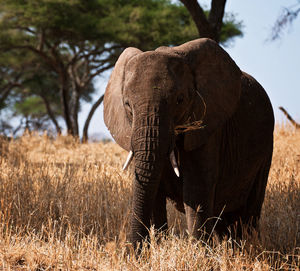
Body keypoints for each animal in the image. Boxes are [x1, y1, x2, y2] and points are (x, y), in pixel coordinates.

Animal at [103, 38, 274, 249]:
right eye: (127, 105)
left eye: (180, 100)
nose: (130, 252)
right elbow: (154, 193)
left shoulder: (208, 126)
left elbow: (196, 191)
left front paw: (198, 253)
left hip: (265, 150)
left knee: (248, 213)